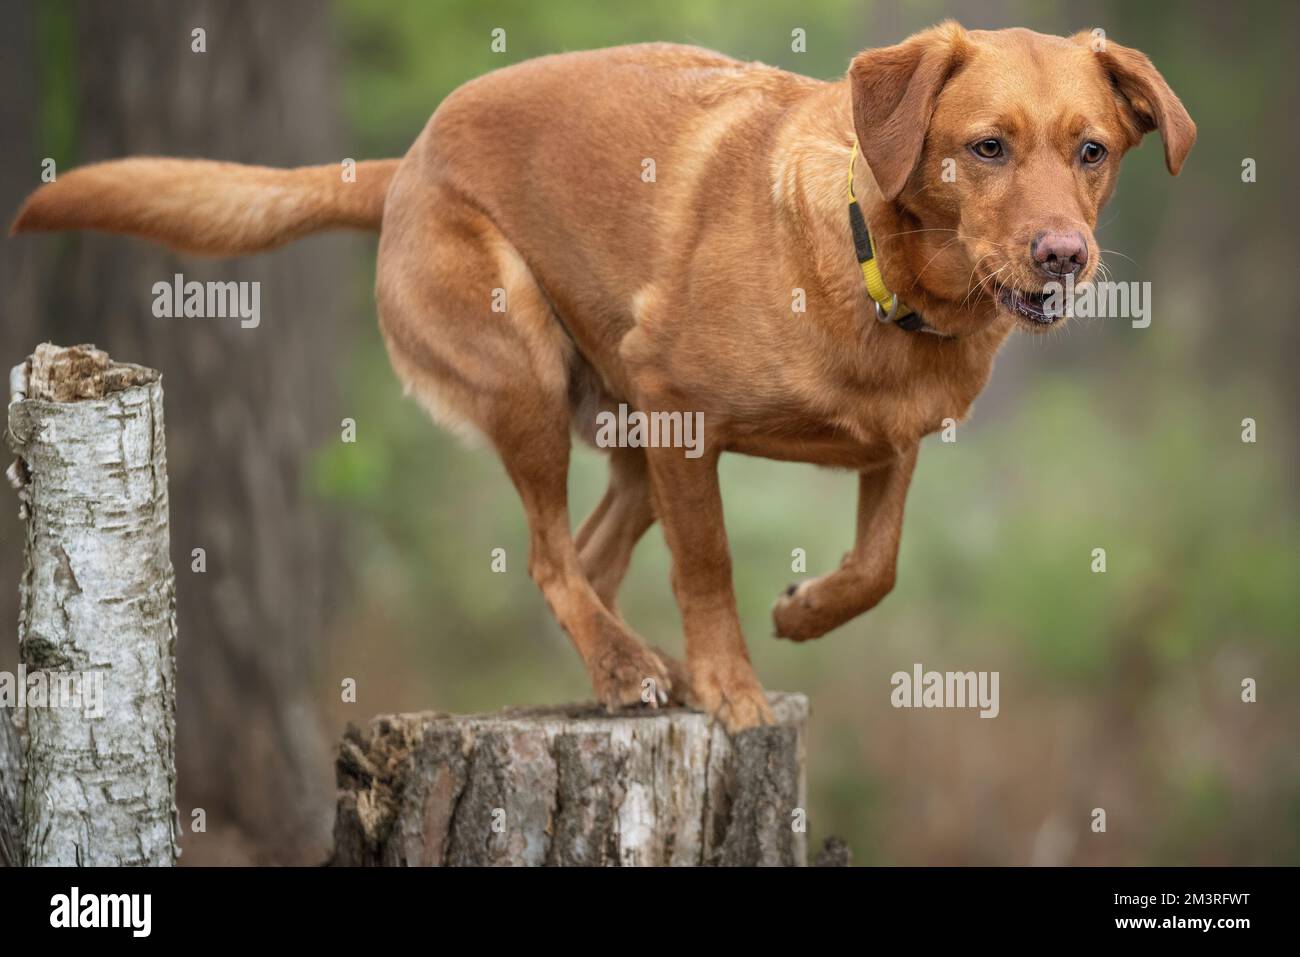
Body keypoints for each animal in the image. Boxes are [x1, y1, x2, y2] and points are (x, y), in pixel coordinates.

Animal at [12, 26, 1190, 733]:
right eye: (986, 147)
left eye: (1091, 151)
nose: (1064, 256)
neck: (880, 276)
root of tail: (403, 165)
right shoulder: (683, 415)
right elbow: (709, 565)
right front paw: (730, 687)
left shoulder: (892, 442)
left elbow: (878, 567)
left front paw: (804, 612)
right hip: (527, 374)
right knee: (547, 556)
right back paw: (631, 671)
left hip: (620, 432)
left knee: (586, 558)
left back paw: (619, 662)